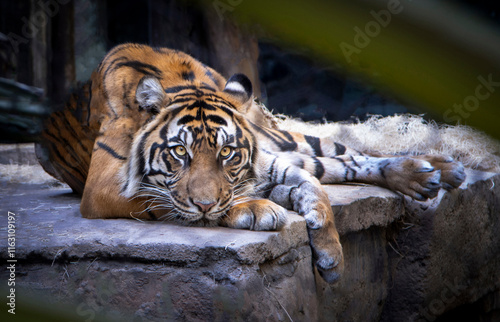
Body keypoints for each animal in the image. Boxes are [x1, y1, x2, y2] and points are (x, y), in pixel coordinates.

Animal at [37, 44, 466, 284]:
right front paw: (257, 210)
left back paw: (436, 170)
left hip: (285, 138)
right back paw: (434, 173)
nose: (207, 202)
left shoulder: (268, 161)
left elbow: (314, 188)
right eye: (180, 153)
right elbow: (167, 201)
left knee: (345, 155)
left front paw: (331, 255)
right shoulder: (103, 186)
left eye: (227, 152)